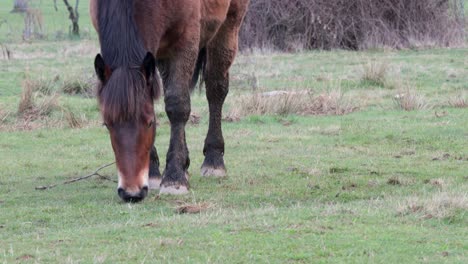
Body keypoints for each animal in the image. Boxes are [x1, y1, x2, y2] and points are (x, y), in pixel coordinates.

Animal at [88, 0, 249, 202]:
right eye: (107, 124)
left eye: (150, 123)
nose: (131, 192)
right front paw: (154, 173)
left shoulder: (185, 41)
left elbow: (178, 105)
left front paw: (174, 178)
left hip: (229, 24)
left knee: (215, 88)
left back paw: (214, 160)